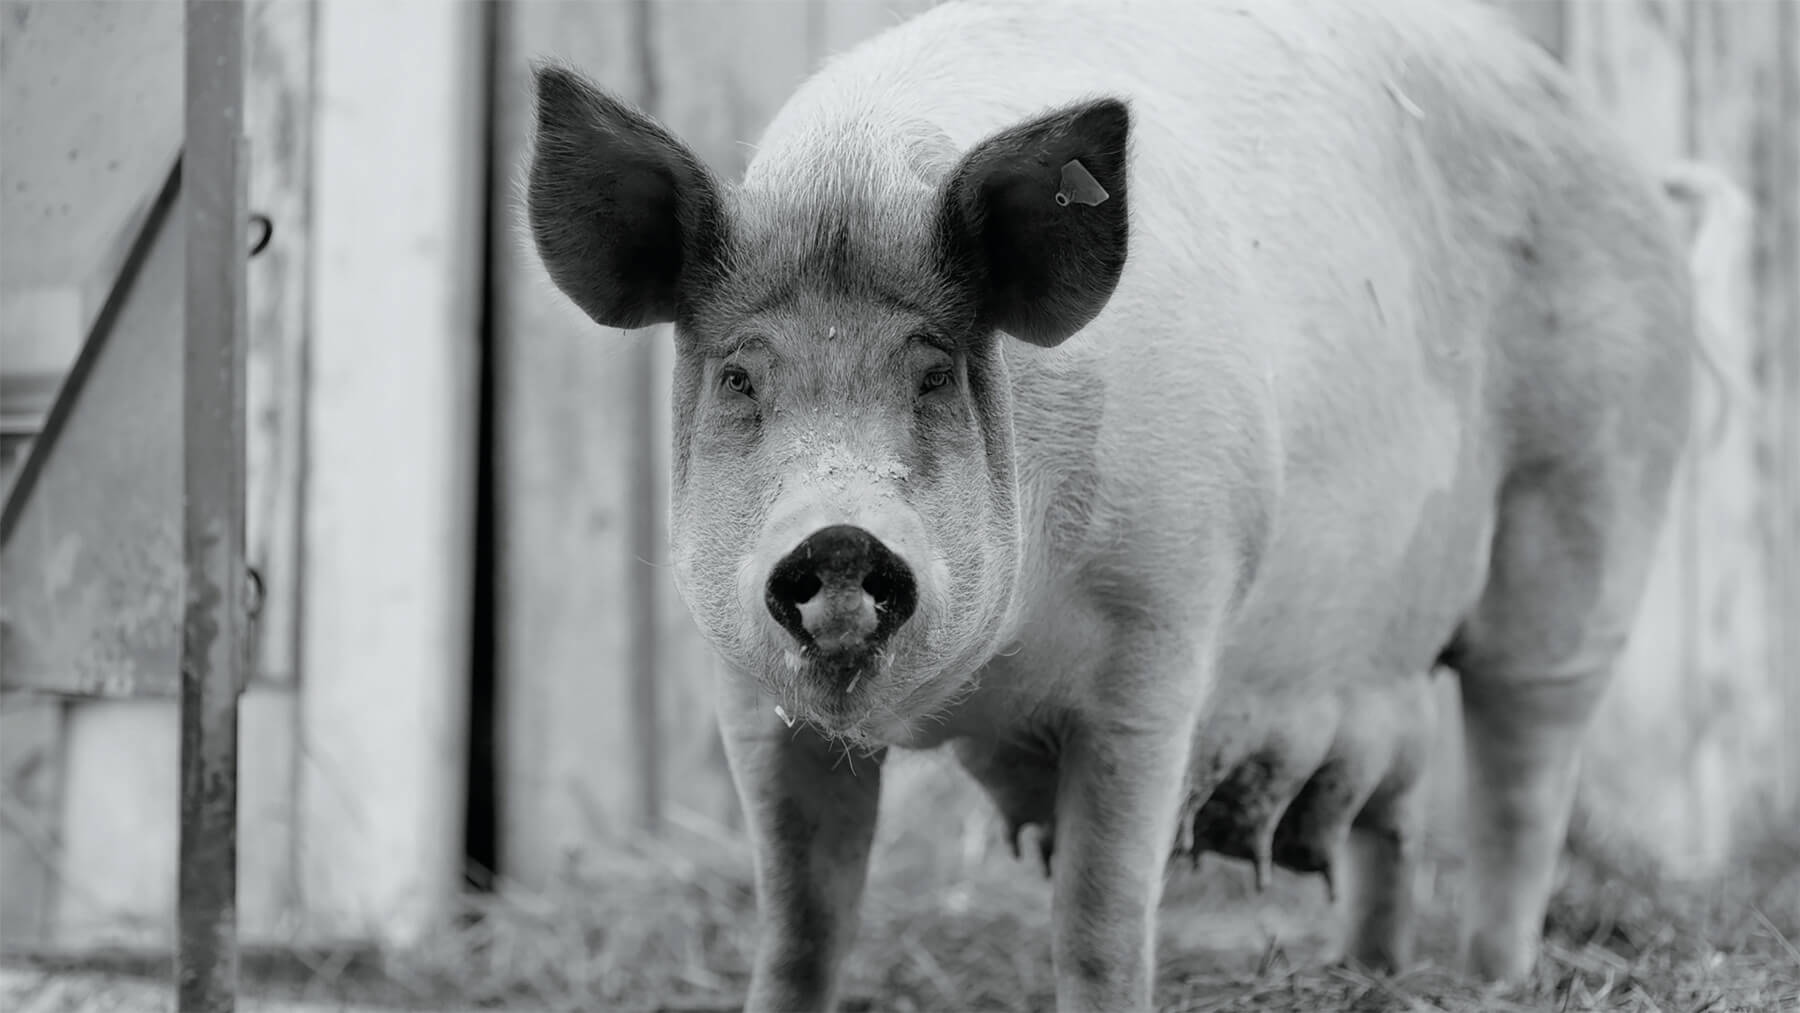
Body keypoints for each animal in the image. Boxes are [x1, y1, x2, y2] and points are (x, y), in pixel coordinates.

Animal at [525, 0, 1699, 1007]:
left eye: (934, 371)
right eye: (738, 376)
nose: (842, 535)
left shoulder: (1161, 640)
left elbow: (1099, 920)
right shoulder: (743, 687)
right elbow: (801, 926)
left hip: (1587, 520)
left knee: (1521, 779)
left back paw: (1492, 977)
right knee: (1397, 812)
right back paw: (1371, 971)